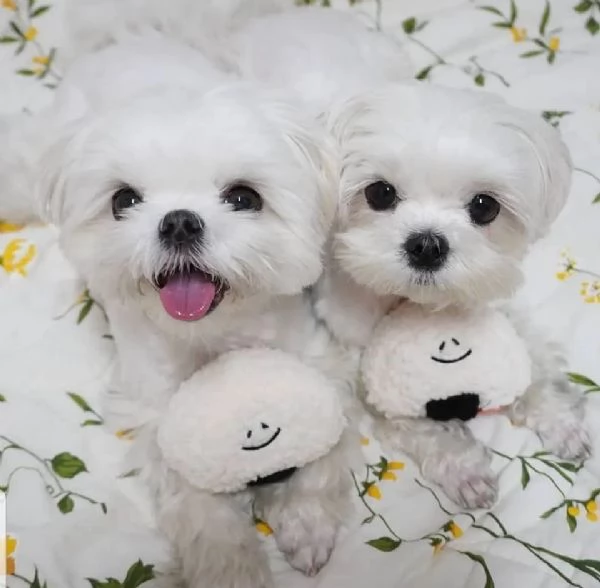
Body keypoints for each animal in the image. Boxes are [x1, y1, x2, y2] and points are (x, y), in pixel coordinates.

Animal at [229, 8, 592, 510]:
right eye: (379, 193)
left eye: (485, 206)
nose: (426, 244)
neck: (411, 298)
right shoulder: (356, 352)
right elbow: (413, 422)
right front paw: (463, 468)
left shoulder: (490, 295)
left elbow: (533, 361)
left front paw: (561, 418)